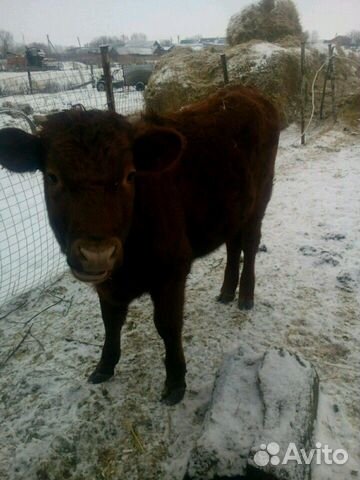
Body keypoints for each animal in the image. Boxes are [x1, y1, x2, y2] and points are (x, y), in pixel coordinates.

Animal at [0, 87, 280, 404]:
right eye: (52, 176)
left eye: (130, 175)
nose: (97, 255)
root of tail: (246, 92)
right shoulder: (107, 285)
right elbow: (110, 322)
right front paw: (104, 366)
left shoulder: (173, 271)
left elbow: (168, 326)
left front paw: (175, 381)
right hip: (232, 210)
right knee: (233, 246)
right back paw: (226, 292)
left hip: (260, 199)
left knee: (250, 244)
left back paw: (245, 295)